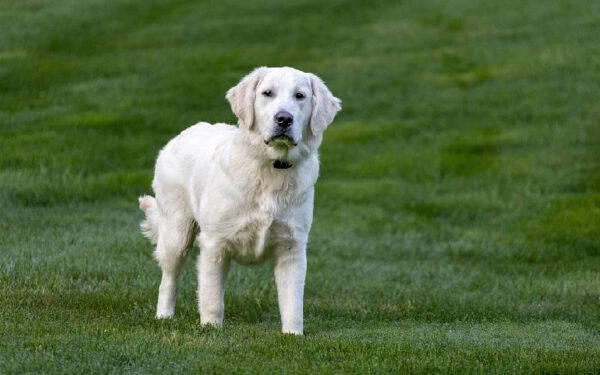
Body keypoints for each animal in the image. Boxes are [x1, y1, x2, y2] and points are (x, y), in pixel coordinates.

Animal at [138, 67, 340, 334]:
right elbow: (212, 296)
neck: (271, 168)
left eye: (300, 96)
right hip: (177, 233)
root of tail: (181, 135)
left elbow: (293, 302)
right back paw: (164, 317)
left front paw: (293, 335)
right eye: (267, 93)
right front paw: (211, 328)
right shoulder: (215, 243)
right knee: (169, 278)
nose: (284, 119)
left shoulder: (292, 247)